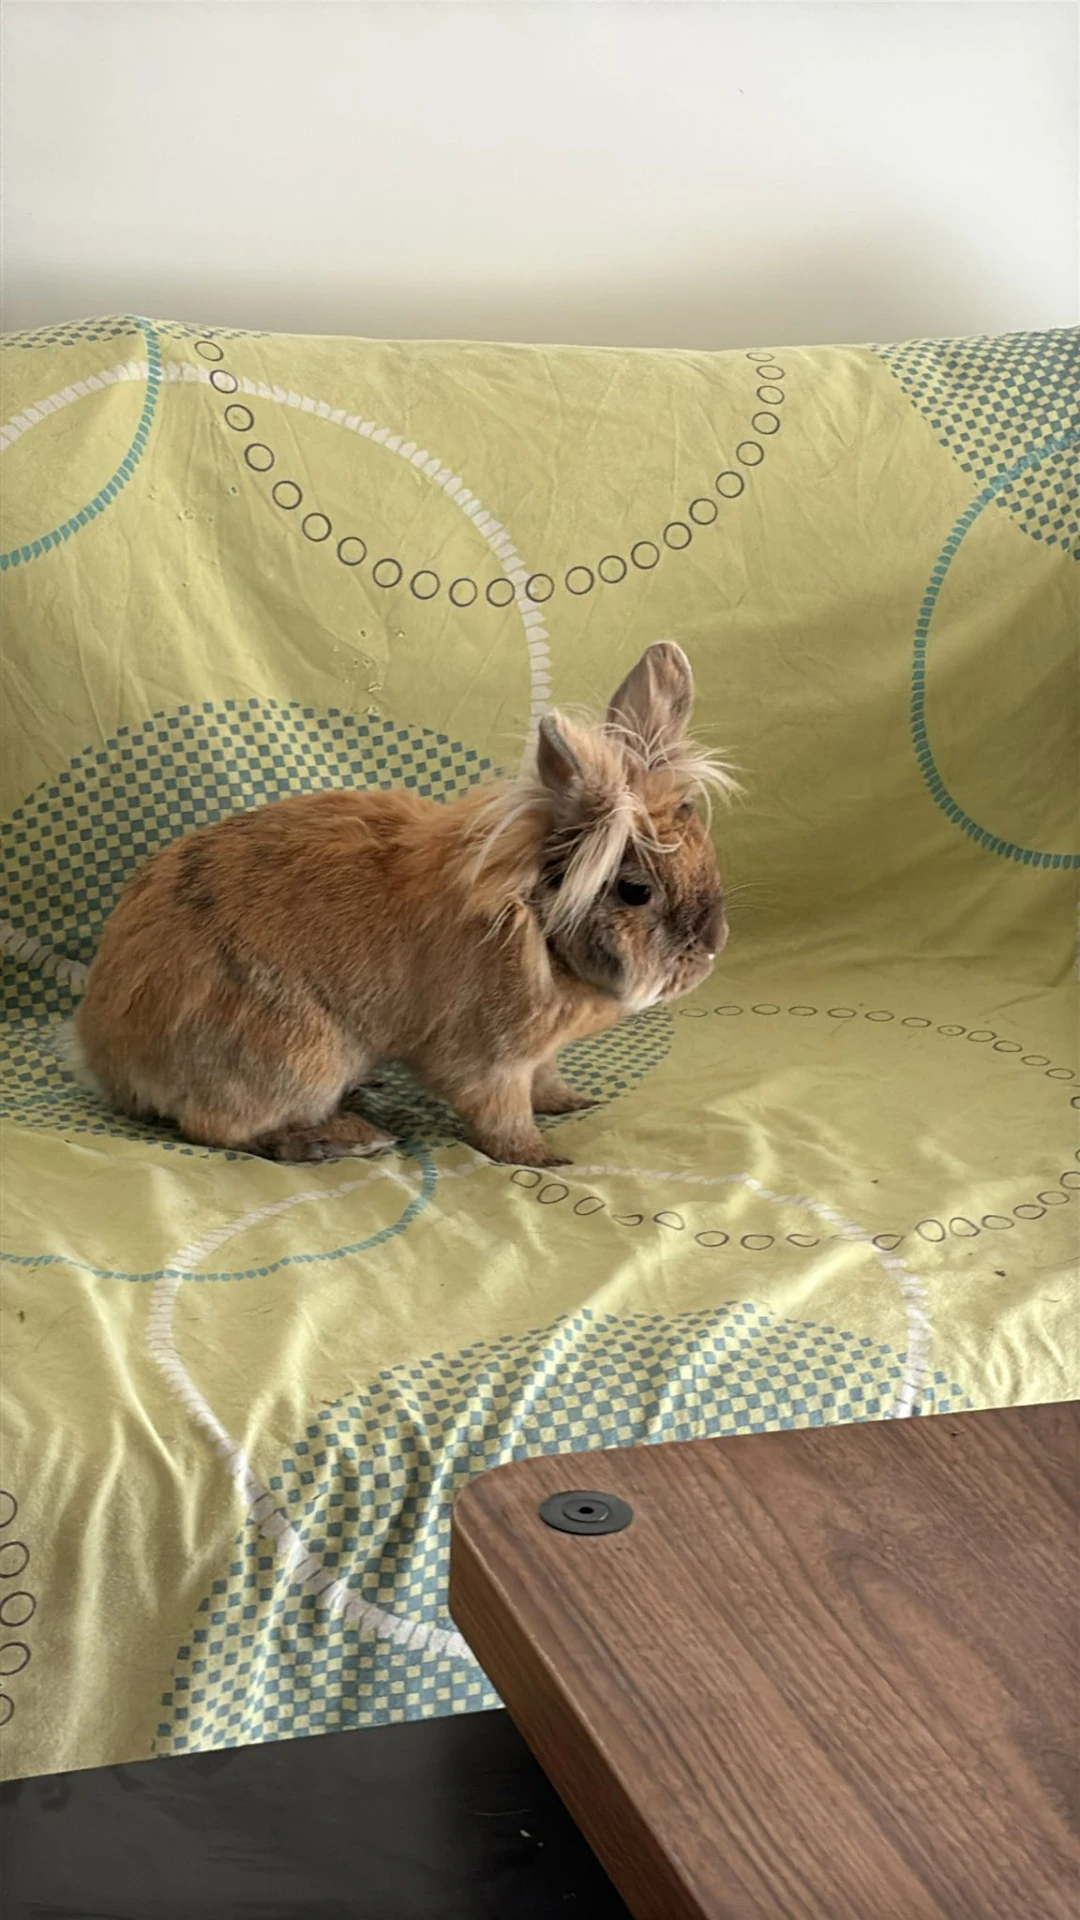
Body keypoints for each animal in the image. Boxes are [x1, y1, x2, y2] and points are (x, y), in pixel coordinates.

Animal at [73, 641, 734, 1167]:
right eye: (635, 890)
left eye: (705, 852)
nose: (711, 948)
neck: (536, 919)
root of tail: (110, 1057)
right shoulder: (487, 1064)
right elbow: (502, 1117)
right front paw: (544, 1158)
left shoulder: (536, 1057)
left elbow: (545, 1082)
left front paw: (573, 1102)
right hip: (293, 1057)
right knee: (216, 1128)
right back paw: (341, 1138)